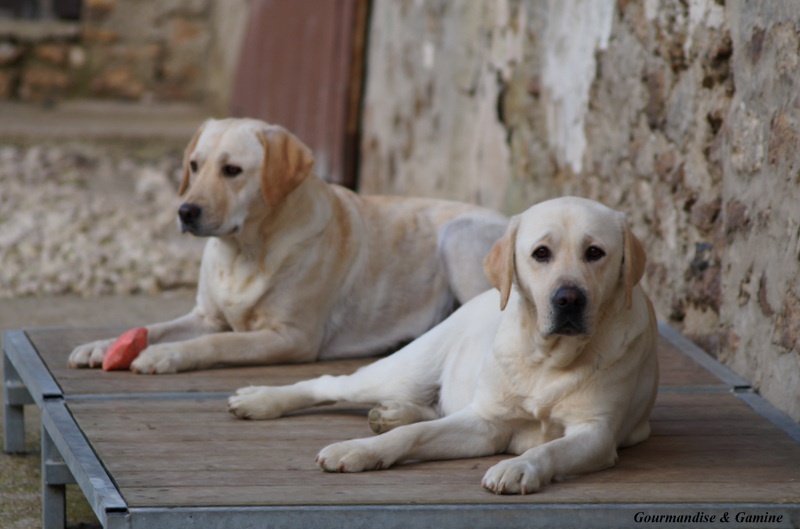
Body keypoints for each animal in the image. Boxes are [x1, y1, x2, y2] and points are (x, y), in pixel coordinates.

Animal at [69, 116, 506, 372]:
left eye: (232, 170)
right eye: (194, 165)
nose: (186, 211)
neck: (243, 254)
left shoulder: (291, 337)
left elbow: (219, 341)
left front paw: (165, 355)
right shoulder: (205, 315)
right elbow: (156, 327)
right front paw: (101, 346)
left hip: (458, 236)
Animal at [228, 196, 660, 492]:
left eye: (595, 252)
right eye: (541, 253)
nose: (569, 299)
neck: (547, 358)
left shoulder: (596, 434)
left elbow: (548, 448)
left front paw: (519, 466)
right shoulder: (486, 422)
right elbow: (410, 436)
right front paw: (361, 450)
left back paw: (395, 412)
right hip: (400, 369)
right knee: (328, 383)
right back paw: (261, 399)